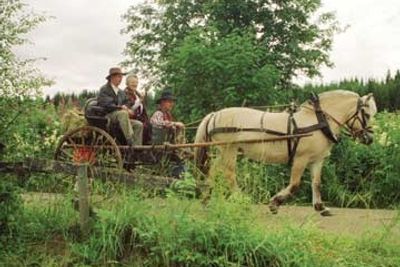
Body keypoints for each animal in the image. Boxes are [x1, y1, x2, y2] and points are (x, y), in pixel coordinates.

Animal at [195, 91, 376, 217]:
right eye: (367, 114)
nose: (369, 138)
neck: (317, 121)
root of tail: (214, 114)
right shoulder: (301, 159)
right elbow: (294, 184)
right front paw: (275, 203)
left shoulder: (316, 160)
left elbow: (316, 183)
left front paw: (321, 207)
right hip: (229, 150)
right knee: (229, 175)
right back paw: (241, 200)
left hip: (223, 152)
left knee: (213, 172)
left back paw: (206, 200)